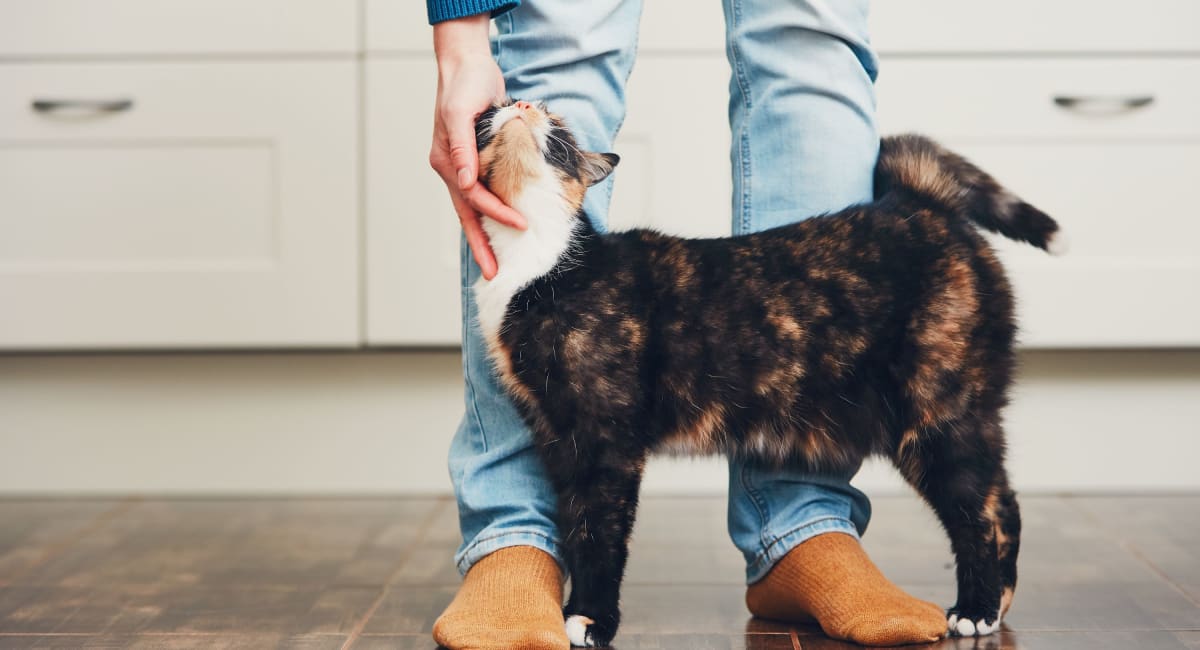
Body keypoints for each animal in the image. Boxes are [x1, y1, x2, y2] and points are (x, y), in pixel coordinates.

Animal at [472, 98, 1065, 647]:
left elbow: (601, 534)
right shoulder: (558, 438)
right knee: (1002, 501)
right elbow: (576, 527)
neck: (539, 263)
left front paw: (592, 619)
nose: (521, 103)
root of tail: (917, 202)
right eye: (494, 110)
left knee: (981, 511)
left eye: (559, 126)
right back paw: (996, 604)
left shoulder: (606, 441)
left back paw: (976, 610)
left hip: (938, 414)